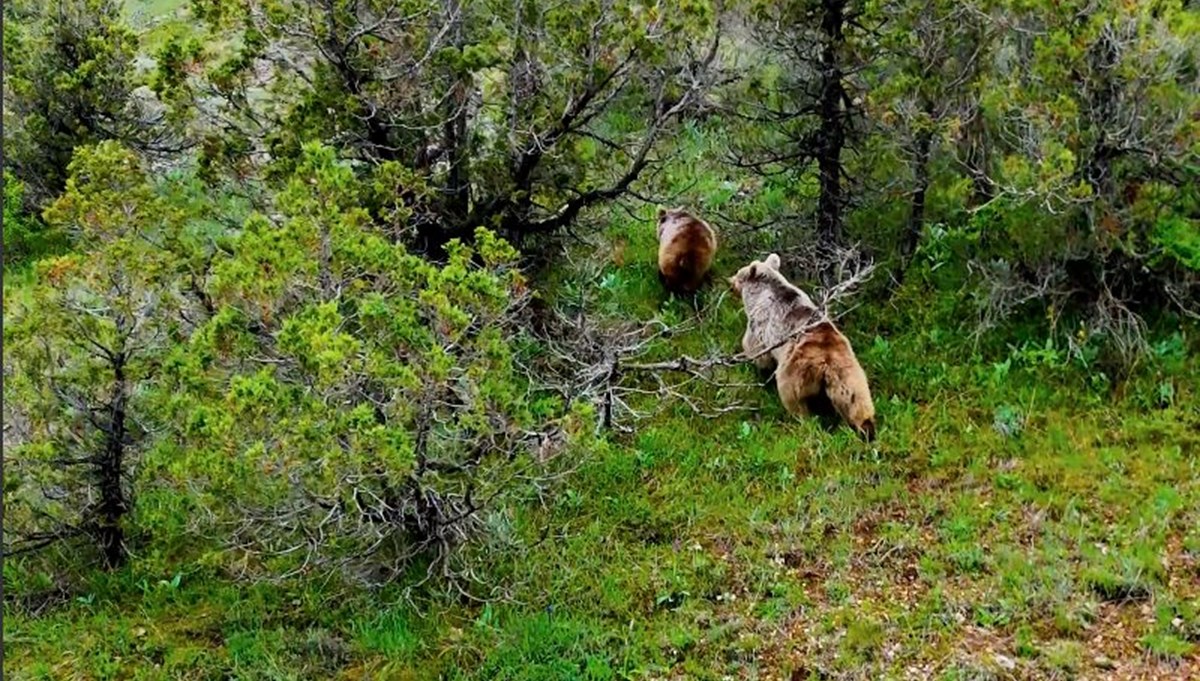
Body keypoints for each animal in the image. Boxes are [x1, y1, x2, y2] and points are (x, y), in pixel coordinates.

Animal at [724, 252, 878, 438]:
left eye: (739, 273)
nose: (729, 282)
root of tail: (825, 360)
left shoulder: (760, 325)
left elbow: (756, 350)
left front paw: (754, 367)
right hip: (847, 371)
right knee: (855, 399)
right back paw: (867, 428)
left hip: (795, 371)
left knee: (794, 399)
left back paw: (803, 422)